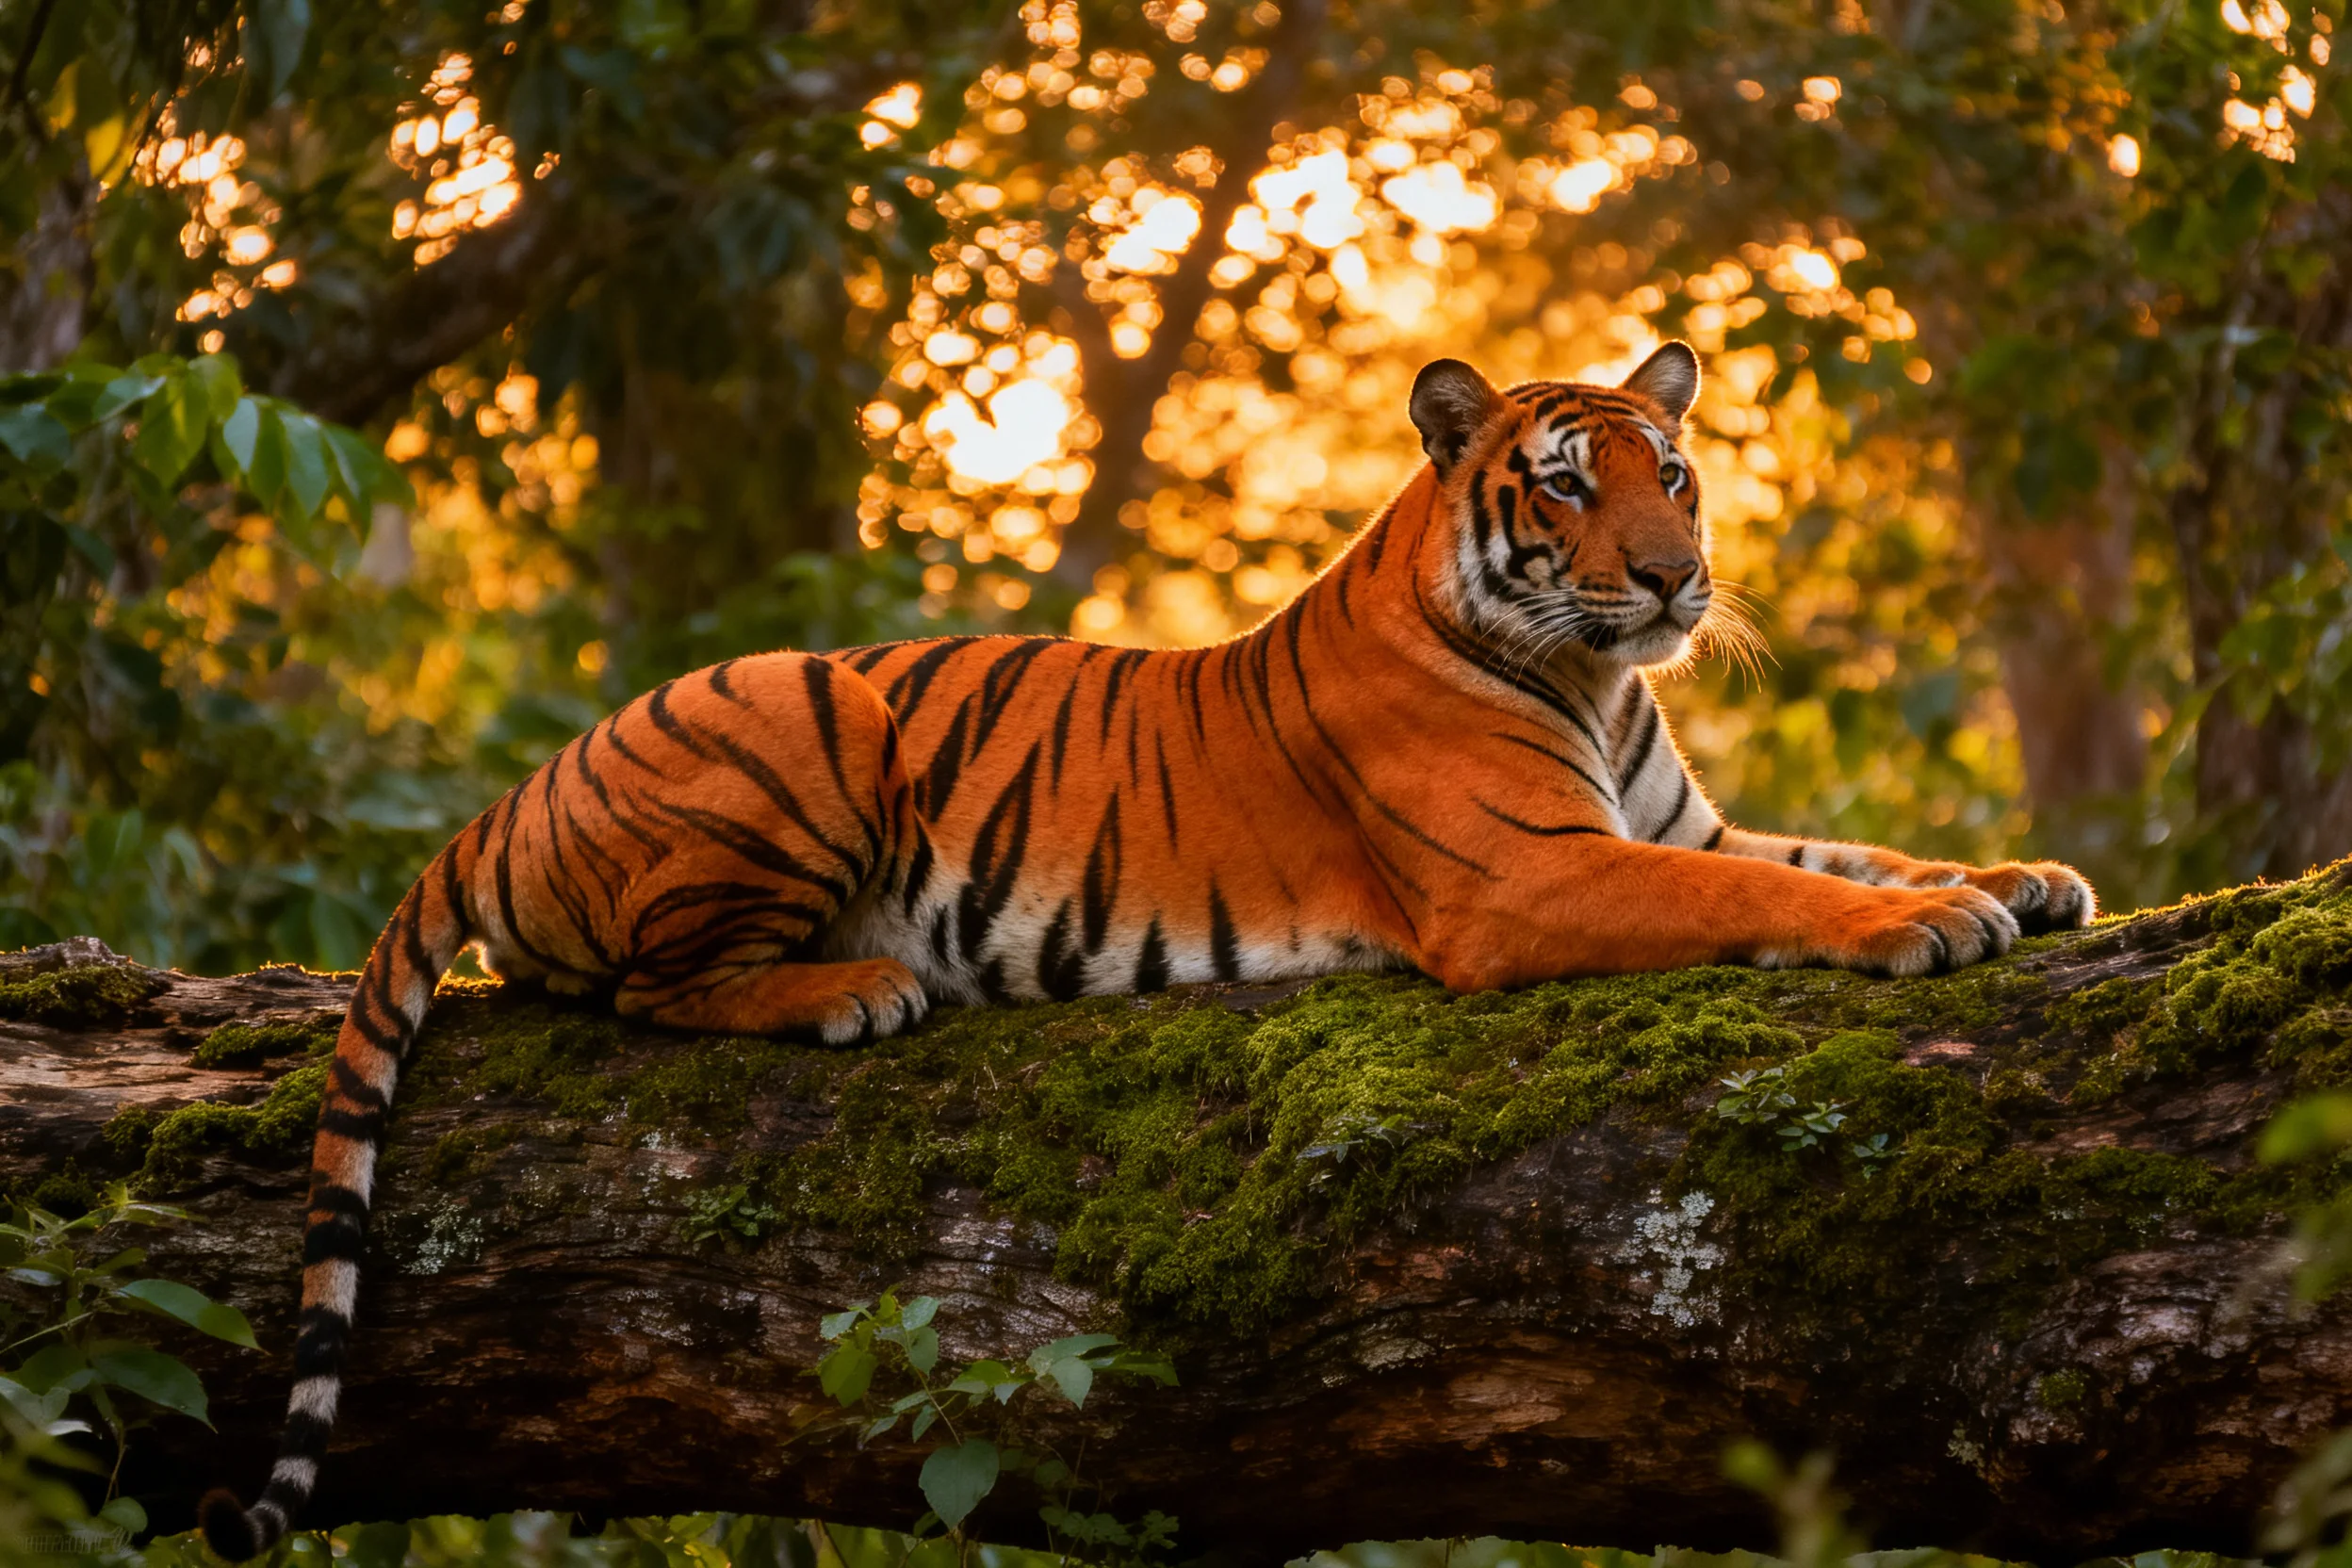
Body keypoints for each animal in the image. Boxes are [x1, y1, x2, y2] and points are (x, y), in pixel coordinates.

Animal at [199, 341, 2093, 1557]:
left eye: (1677, 472)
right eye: (1568, 485)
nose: (1675, 579)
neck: (1598, 675)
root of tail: (512, 792)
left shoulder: (1672, 826)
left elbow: (1831, 846)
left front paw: (2028, 876)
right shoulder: (1530, 879)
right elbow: (1788, 895)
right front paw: (1931, 922)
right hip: (814, 707)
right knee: (637, 985)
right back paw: (861, 986)